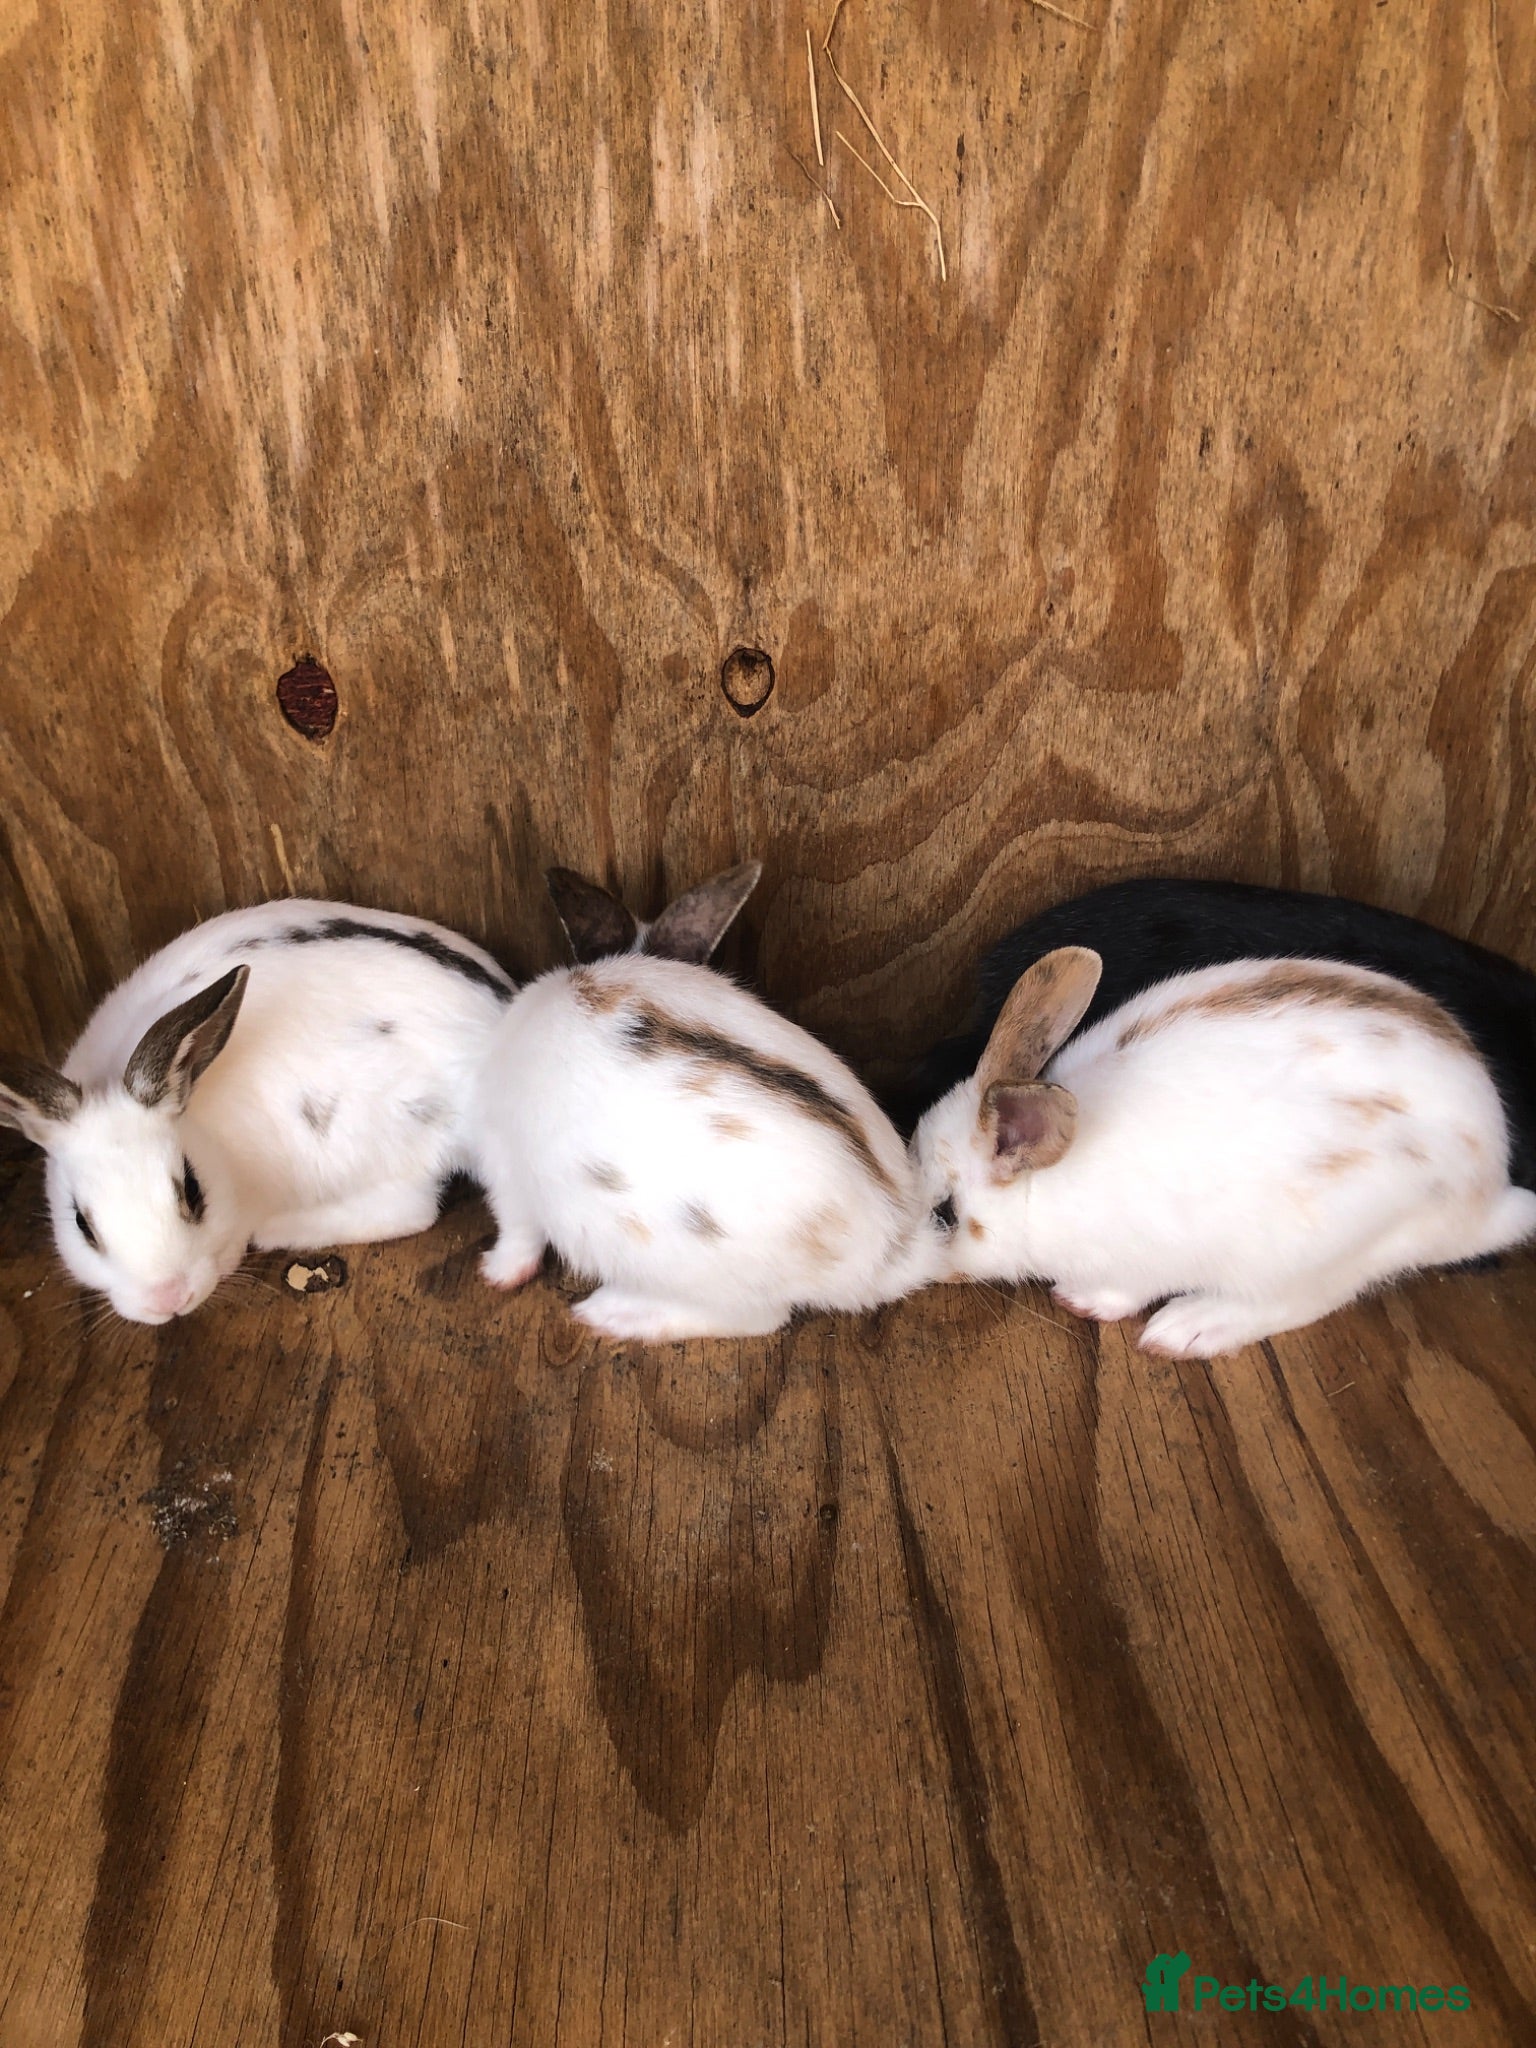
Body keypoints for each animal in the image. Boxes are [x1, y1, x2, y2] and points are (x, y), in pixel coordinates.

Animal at [473, 865, 943, 1340]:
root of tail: (892, 1252)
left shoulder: (504, 1168)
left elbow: (517, 1233)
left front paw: (495, 1272)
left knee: (761, 1319)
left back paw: (612, 1314)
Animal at [910, 944, 1536, 1359]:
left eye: (947, 1214)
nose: (906, 1263)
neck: (1048, 1181)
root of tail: (1488, 1197)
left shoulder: (1140, 1260)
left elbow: (1122, 1291)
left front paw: (1082, 1302)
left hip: (1324, 1252)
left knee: (1302, 1302)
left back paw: (1186, 1329)